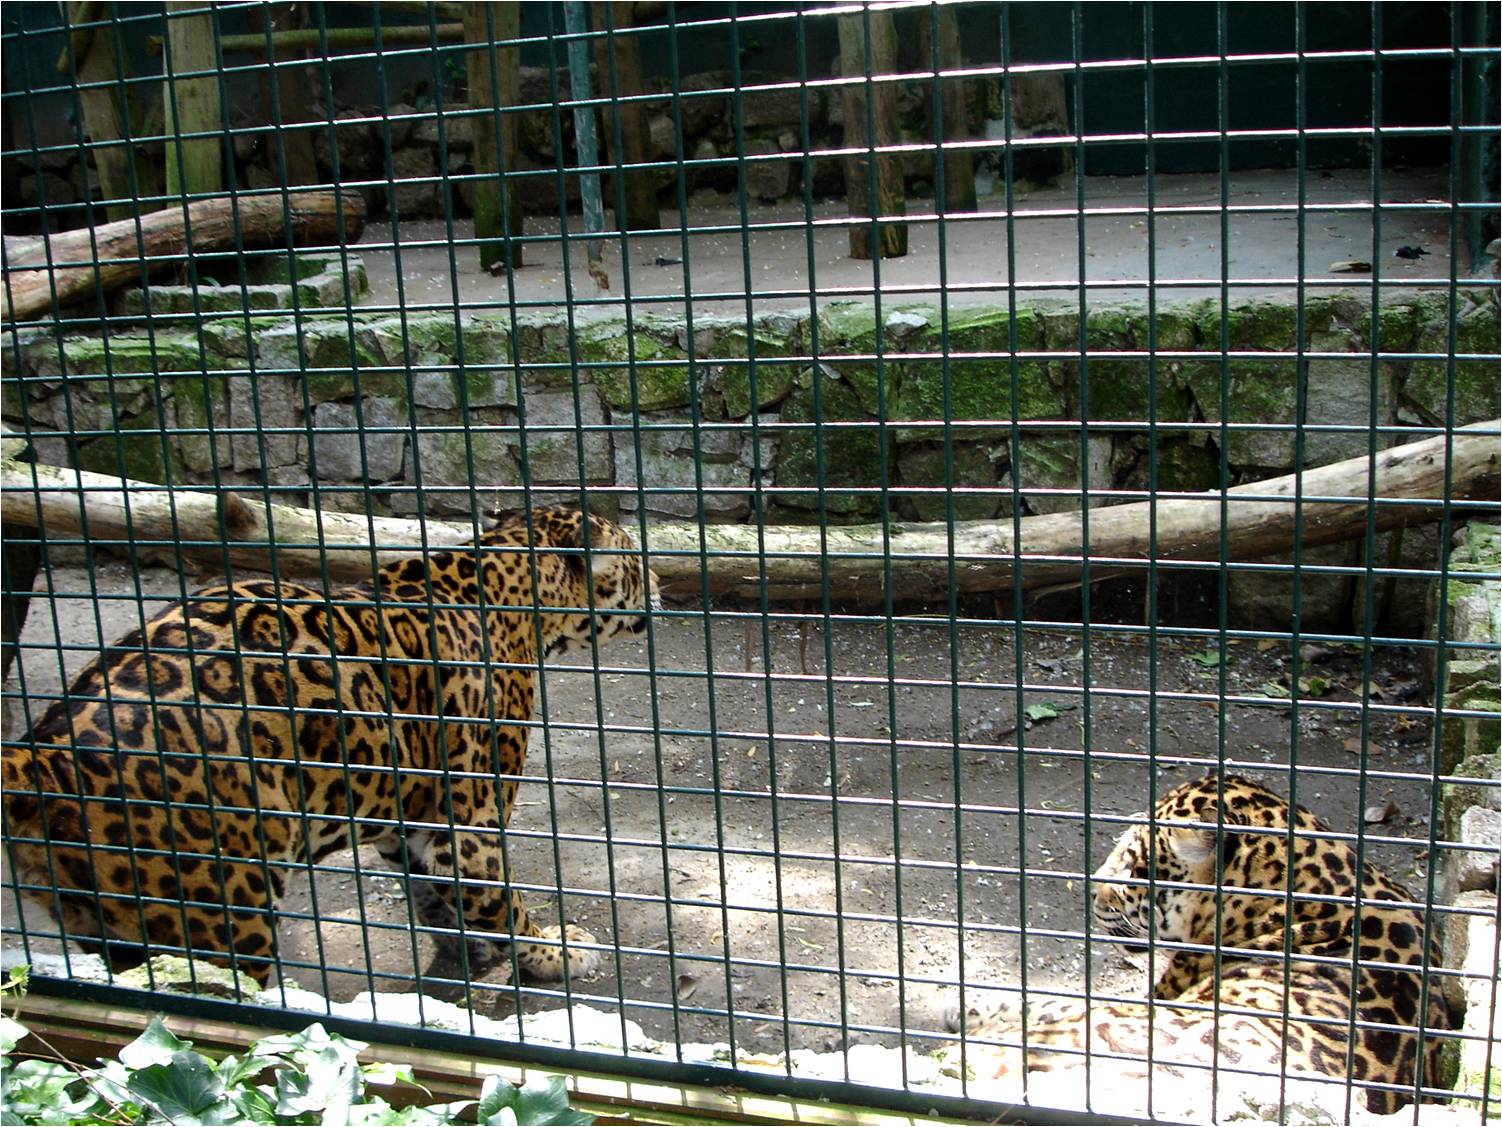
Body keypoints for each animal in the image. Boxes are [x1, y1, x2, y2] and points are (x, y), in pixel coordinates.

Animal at [2, 506, 660, 988]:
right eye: (632, 557)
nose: (659, 582)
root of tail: (43, 754)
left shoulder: (411, 815)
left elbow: (432, 893)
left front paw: (464, 949)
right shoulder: (471, 821)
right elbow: (502, 901)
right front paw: (554, 951)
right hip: (220, 914)